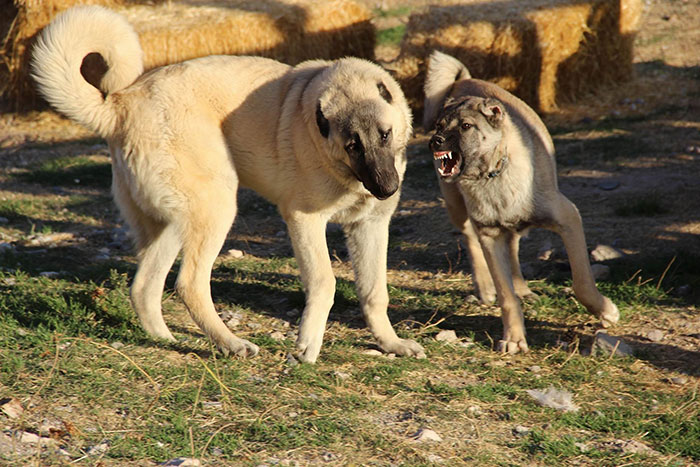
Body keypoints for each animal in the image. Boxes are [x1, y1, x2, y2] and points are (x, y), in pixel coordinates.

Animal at [32, 5, 424, 364]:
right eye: (353, 145)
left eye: (385, 135)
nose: (387, 189)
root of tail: (119, 104)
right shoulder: (304, 221)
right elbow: (324, 283)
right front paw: (307, 346)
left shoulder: (370, 225)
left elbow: (375, 291)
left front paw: (390, 343)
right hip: (217, 208)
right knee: (189, 284)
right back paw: (231, 344)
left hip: (178, 222)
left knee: (145, 286)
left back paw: (165, 338)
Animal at [422, 51, 616, 352]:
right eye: (440, 126)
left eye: (466, 126)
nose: (435, 142)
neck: (493, 174)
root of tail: (465, 80)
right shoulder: (490, 235)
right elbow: (506, 296)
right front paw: (514, 337)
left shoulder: (568, 218)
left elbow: (582, 281)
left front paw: (605, 311)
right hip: (457, 207)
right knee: (471, 239)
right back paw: (486, 287)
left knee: (513, 247)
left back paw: (523, 289)